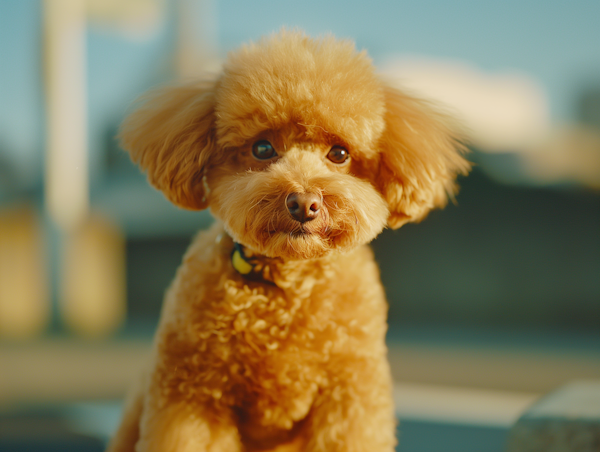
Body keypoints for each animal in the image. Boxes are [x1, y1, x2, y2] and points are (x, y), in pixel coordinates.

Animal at [109, 29, 468, 452]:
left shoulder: (349, 396)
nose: (304, 203)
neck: (288, 285)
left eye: (339, 153)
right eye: (262, 148)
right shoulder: (194, 393)